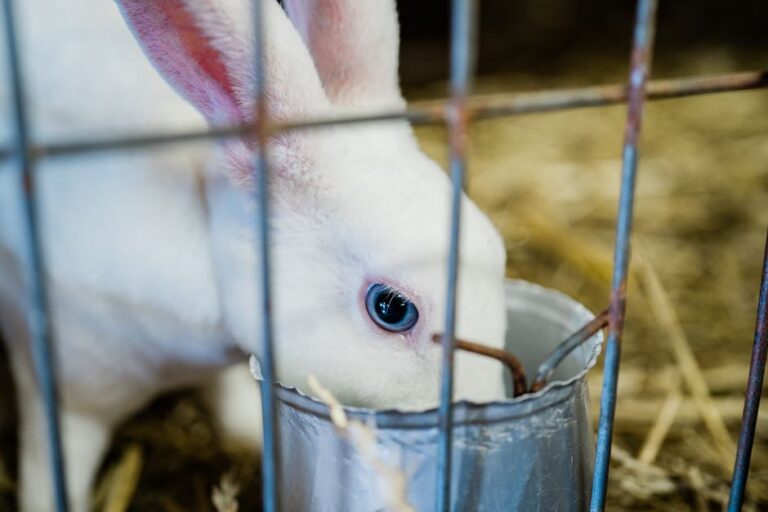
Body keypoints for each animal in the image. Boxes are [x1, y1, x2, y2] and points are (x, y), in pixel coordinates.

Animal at [0, 0, 509, 510]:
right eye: (392, 308)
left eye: (498, 252)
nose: (482, 407)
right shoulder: (65, 394)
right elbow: (51, 471)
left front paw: (247, 431)